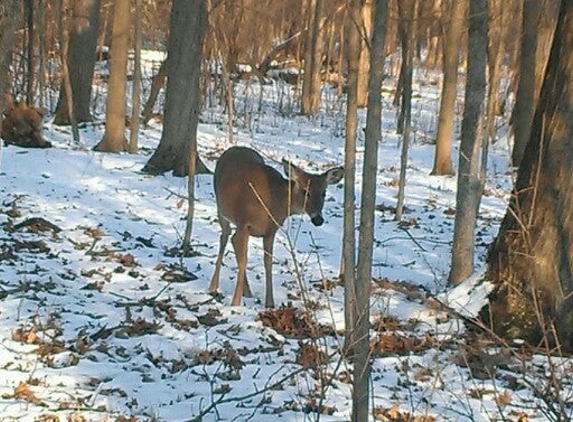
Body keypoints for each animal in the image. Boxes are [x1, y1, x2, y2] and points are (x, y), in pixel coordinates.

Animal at [210, 147, 344, 308]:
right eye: (306, 191)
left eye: (324, 192)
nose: (318, 219)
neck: (275, 201)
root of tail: (233, 148)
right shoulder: (244, 223)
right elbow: (243, 261)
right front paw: (235, 303)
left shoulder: (271, 230)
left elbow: (268, 263)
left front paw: (270, 303)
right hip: (221, 209)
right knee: (224, 237)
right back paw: (213, 287)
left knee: (230, 240)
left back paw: (246, 292)